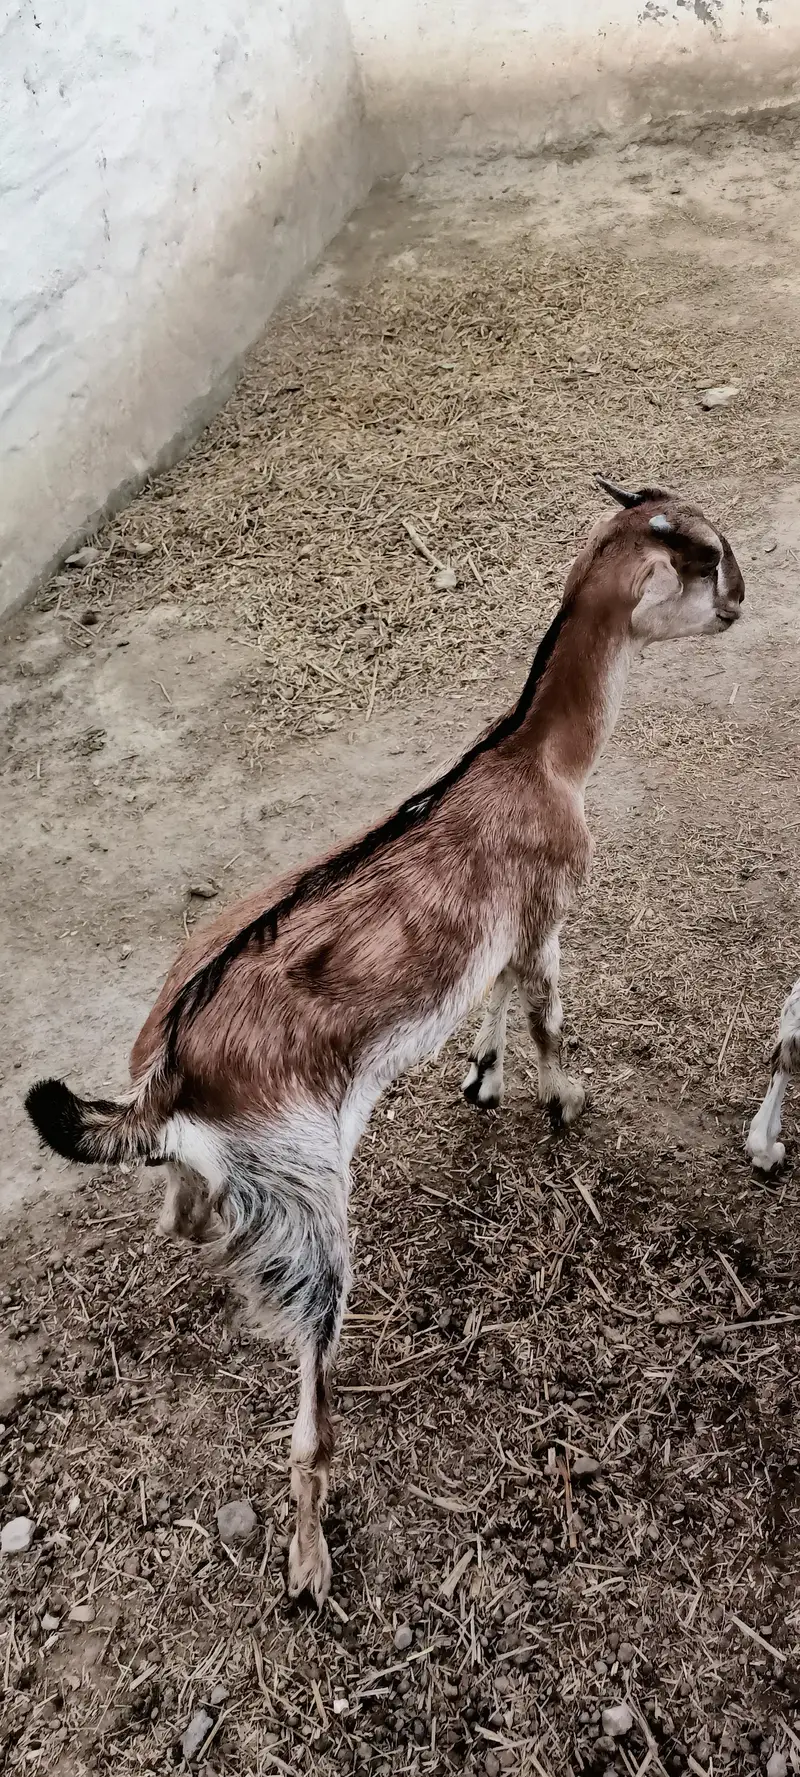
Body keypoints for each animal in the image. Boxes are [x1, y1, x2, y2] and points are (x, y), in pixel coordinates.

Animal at [25, 479, 744, 1605]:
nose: (740, 606)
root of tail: (171, 1077)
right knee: (307, 1414)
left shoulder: (496, 936)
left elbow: (495, 1001)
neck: (534, 755)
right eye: (707, 559)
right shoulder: (547, 912)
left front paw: (484, 1080)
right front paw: (563, 1104)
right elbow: (545, 1011)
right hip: (311, 1197)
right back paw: (308, 1562)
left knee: (178, 1218)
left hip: (226, 1173)